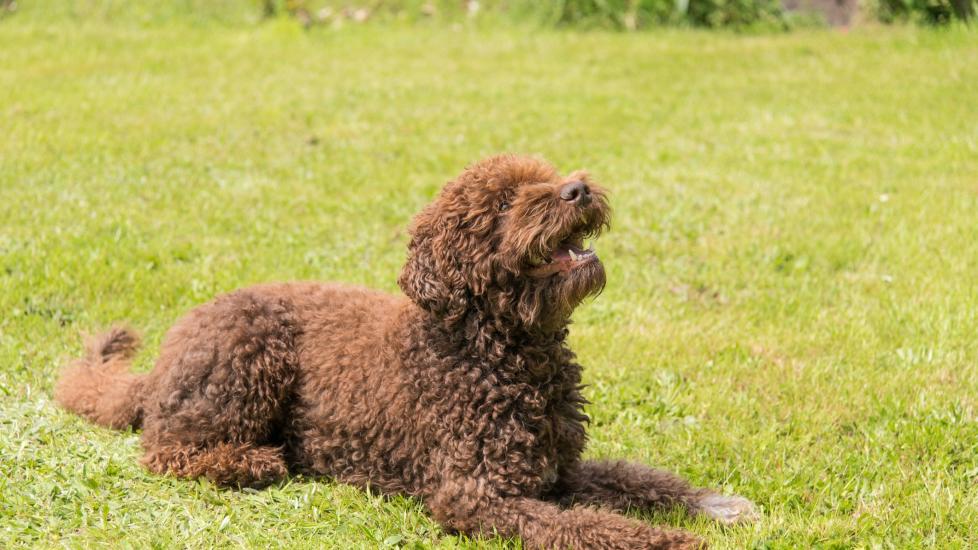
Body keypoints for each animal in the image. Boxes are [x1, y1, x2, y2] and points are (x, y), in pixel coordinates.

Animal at [55, 156, 756, 550]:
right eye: (504, 203)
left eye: (549, 179)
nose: (577, 190)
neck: (503, 351)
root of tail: (164, 357)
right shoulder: (477, 495)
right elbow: (589, 527)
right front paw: (671, 541)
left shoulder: (555, 471)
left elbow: (638, 478)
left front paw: (711, 505)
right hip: (248, 357)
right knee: (165, 449)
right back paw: (253, 460)